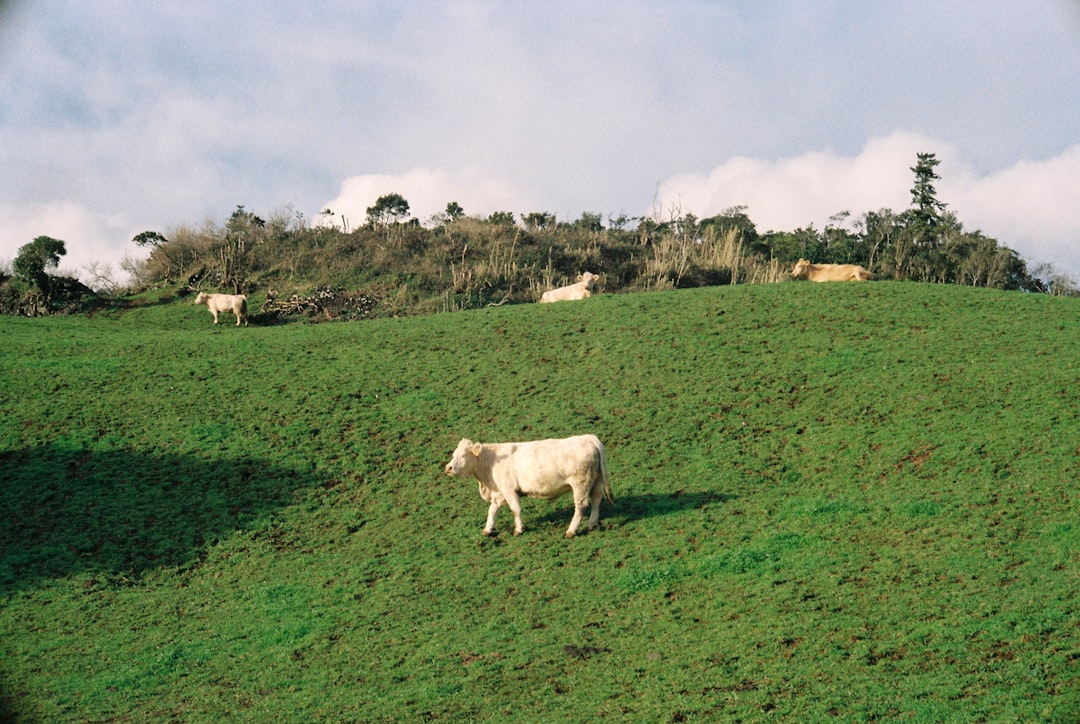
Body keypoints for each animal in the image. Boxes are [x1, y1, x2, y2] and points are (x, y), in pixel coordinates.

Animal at [440, 436, 613, 538]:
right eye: (453, 454)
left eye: (463, 455)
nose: (448, 468)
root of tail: (589, 438)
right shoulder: (499, 492)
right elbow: (493, 510)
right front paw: (488, 529)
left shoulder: (509, 489)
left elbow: (515, 509)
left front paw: (518, 529)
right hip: (595, 480)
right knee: (597, 499)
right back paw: (591, 524)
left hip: (580, 483)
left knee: (581, 506)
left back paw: (571, 531)